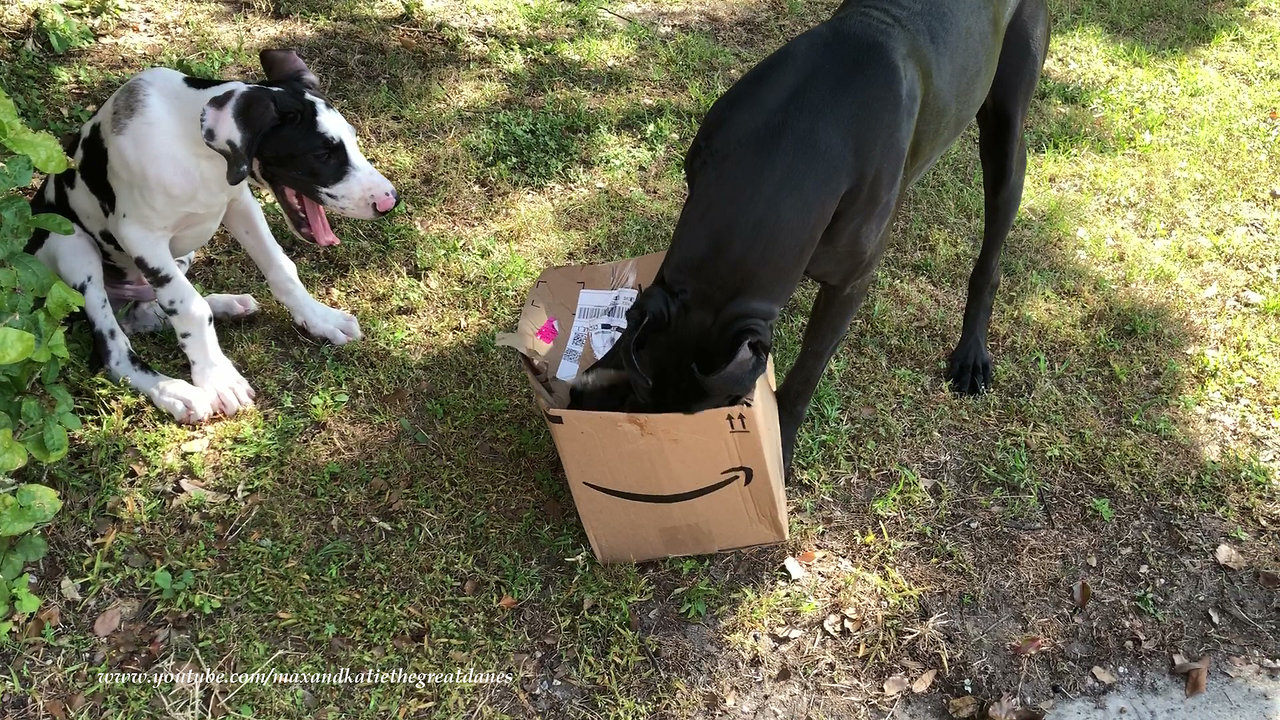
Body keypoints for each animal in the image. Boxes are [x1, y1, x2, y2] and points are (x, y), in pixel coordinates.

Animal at [27, 49, 396, 420]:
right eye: (321, 154)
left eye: (353, 141)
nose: (388, 201)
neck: (195, 152)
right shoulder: (142, 239)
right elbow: (188, 307)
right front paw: (217, 378)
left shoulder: (239, 203)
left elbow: (280, 268)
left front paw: (319, 317)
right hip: (72, 247)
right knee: (114, 349)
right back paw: (174, 391)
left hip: (179, 257)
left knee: (144, 313)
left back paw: (226, 304)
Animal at [573, 0, 1049, 468]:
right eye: (645, 396)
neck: (790, 154)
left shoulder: (848, 285)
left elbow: (808, 367)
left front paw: (781, 444)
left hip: (1006, 136)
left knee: (992, 249)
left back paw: (972, 353)